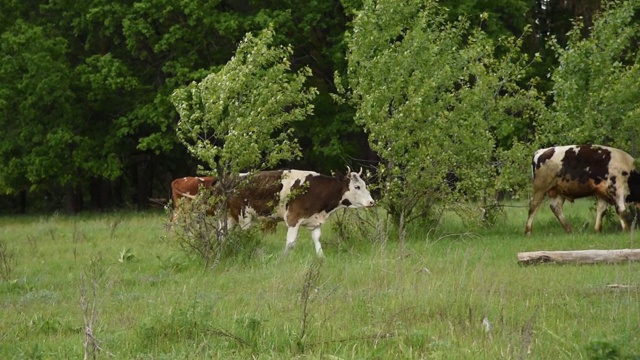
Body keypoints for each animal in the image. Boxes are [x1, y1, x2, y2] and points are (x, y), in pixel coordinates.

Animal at [172, 169, 378, 256]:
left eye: (365, 185)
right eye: (357, 186)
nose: (371, 202)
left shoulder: (314, 221)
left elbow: (317, 241)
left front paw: (321, 258)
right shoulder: (293, 219)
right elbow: (291, 243)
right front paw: (283, 258)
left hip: (228, 217)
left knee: (223, 235)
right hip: (242, 217)